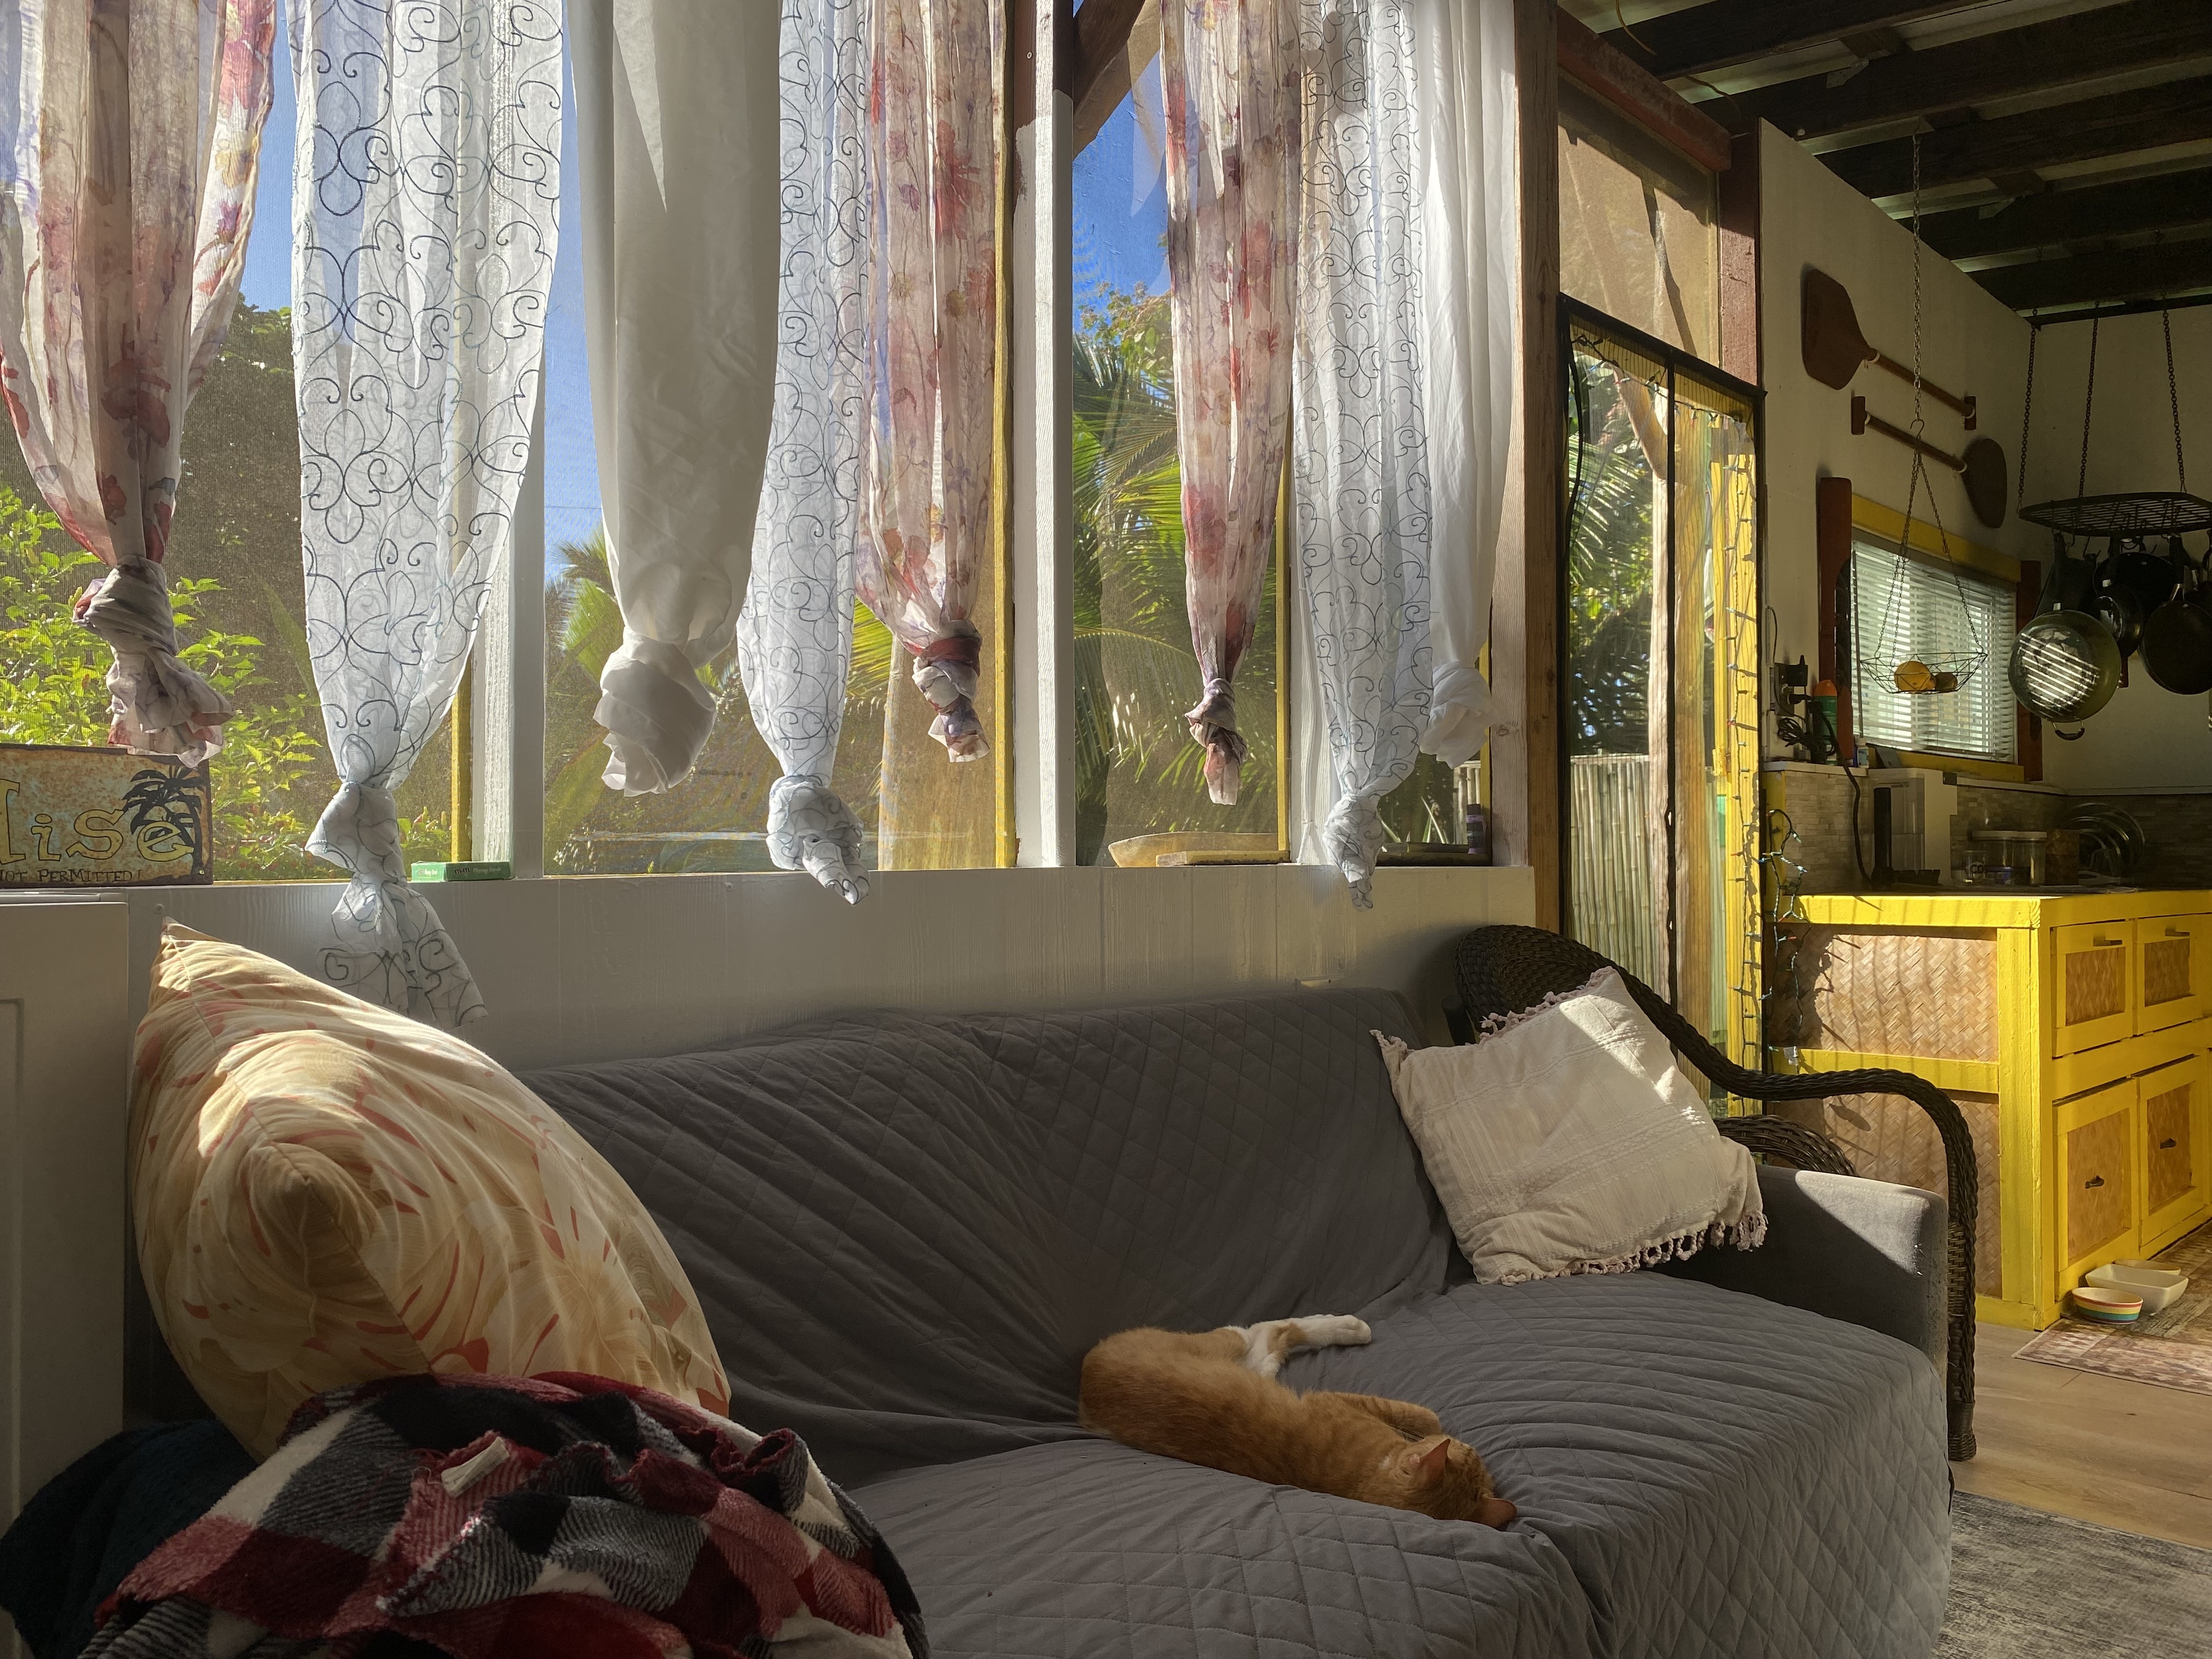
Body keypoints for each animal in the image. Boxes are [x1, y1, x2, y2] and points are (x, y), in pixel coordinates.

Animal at [1075, 1309, 1522, 1531]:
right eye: (1471, 1453)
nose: (1476, 1451)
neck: (1366, 1478)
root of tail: (1086, 1386)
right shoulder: (1336, 1400)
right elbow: (1427, 1415)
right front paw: (1436, 1428)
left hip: (1247, 1363)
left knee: (1269, 1344)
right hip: (1227, 1343)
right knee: (1264, 1328)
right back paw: (1350, 1327)